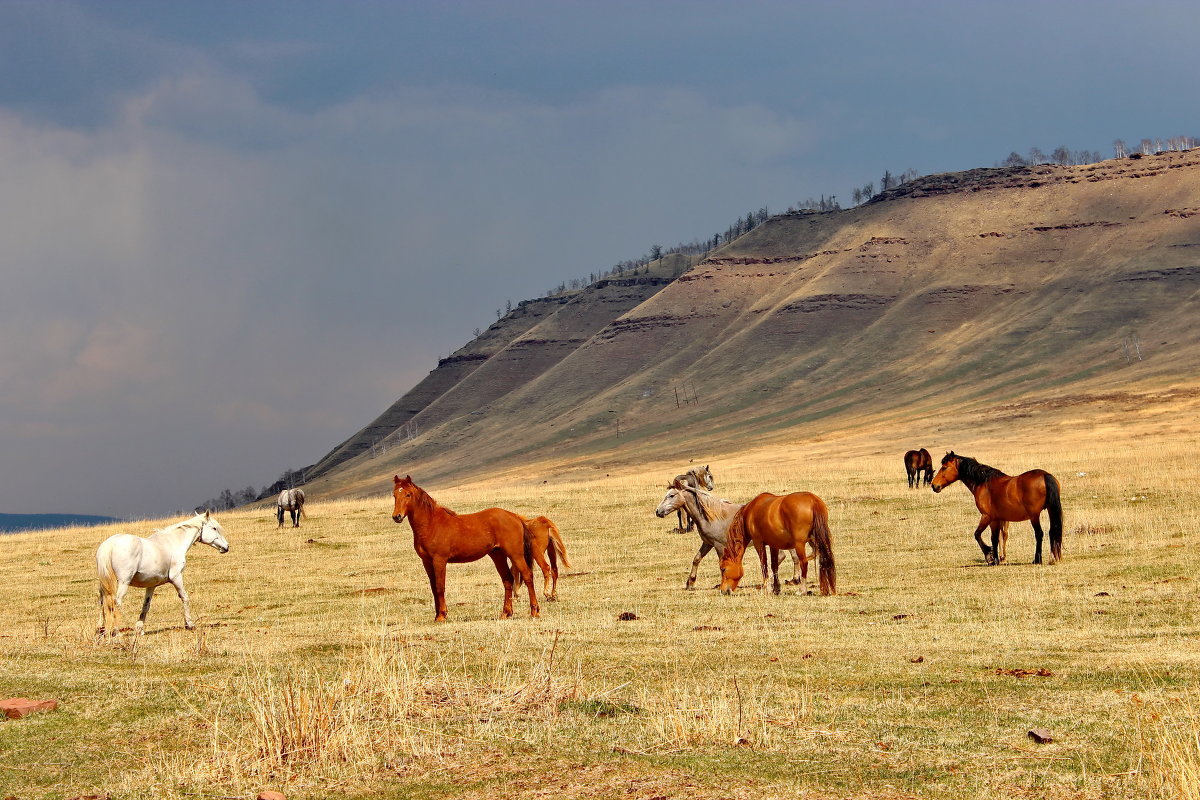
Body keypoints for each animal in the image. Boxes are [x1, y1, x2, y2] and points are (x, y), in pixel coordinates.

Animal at [94, 513, 230, 638]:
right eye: (214, 528)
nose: (226, 547)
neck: (173, 543)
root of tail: (109, 544)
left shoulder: (151, 585)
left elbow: (146, 606)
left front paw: (140, 629)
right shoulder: (177, 577)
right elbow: (185, 598)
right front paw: (189, 624)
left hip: (104, 584)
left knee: (102, 601)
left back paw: (101, 629)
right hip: (123, 582)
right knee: (117, 602)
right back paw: (117, 631)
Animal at [388, 472, 540, 623]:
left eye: (408, 494)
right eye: (394, 495)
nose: (397, 516)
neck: (431, 523)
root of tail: (515, 516)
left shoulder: (439, 560)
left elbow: (440, 587)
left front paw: (442, 615)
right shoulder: (427, 562)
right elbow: (433, 587)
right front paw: (437, 616)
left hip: (516, 555)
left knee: (527, 576)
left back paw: (534, 611)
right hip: (498, 555)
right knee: (507, 580)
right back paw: (506, 613)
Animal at [931, 453, 1065, 566]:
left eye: (944, 467)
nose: (933, 485)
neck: (983, 482)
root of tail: (1045, 475)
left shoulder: (987, 517)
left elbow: (979, 535)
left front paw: (990, 557)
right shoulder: (997, 519)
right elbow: (995, 538)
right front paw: (996, 558)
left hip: (1034, 516)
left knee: (1039, 534)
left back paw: (1037, 559)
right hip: (1049, 511)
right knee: (1053, 531)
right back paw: (1054, 557)